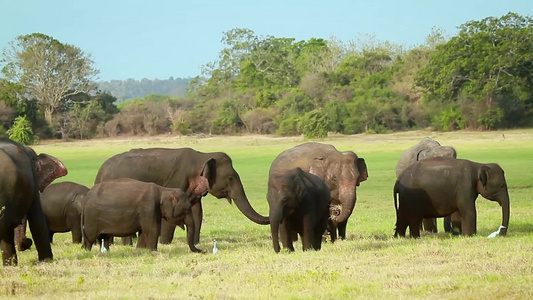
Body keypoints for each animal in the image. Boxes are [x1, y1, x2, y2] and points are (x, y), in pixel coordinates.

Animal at [93, 146, 268, 245]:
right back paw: (127, 244)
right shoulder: (176, 181)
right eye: (231, 178)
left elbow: (197, 212)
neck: (202, 156)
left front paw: (194, 241)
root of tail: (100, 171)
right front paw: (165, 243)